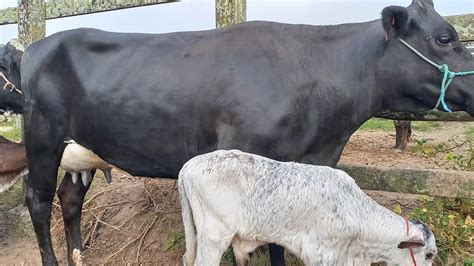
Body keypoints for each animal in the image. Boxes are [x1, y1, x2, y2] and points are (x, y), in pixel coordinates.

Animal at [1, 1, 472, 264]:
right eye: (444, 38)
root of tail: (36, 47)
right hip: (42, 139)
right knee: (38, 201)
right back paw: (54, 260)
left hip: (79, 150)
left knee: (70, 198)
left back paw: (78, 254)